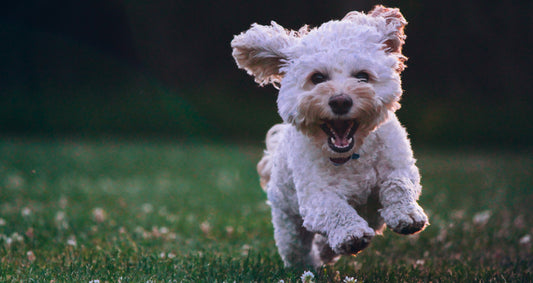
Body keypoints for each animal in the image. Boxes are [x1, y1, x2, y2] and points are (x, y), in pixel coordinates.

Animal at [230, 5, 428, 270]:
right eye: (317, 78)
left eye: (362, 76)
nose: (341, 101)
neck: (352, 155)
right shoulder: (315, 197)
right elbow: (334, 208)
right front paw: (351, 234)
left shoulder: (400, 165)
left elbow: (398, 184)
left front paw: (406, 214)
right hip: (287, 221)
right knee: (296, 247)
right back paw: (310, 264)